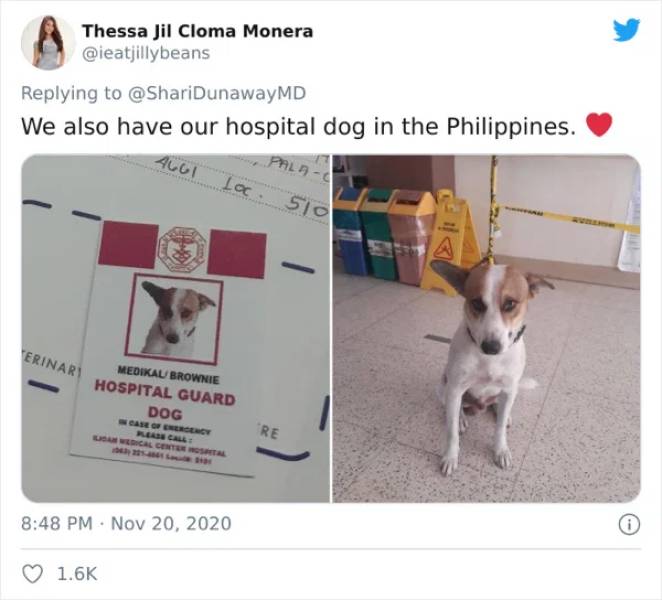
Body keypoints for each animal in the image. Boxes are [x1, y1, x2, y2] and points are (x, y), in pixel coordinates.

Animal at [434, 260, 556, 476]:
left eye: (510, 304)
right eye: (476, 303)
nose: (491, 347)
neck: (489, 360)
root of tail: (479, 406)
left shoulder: (509, 388)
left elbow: (498, 431)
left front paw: (501, 450)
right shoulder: (455, 388)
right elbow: (451, 432)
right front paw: (450, 456)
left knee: (499, 406)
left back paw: (502, 413)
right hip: (443, 387)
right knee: (455, 408)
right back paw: (461, 418)